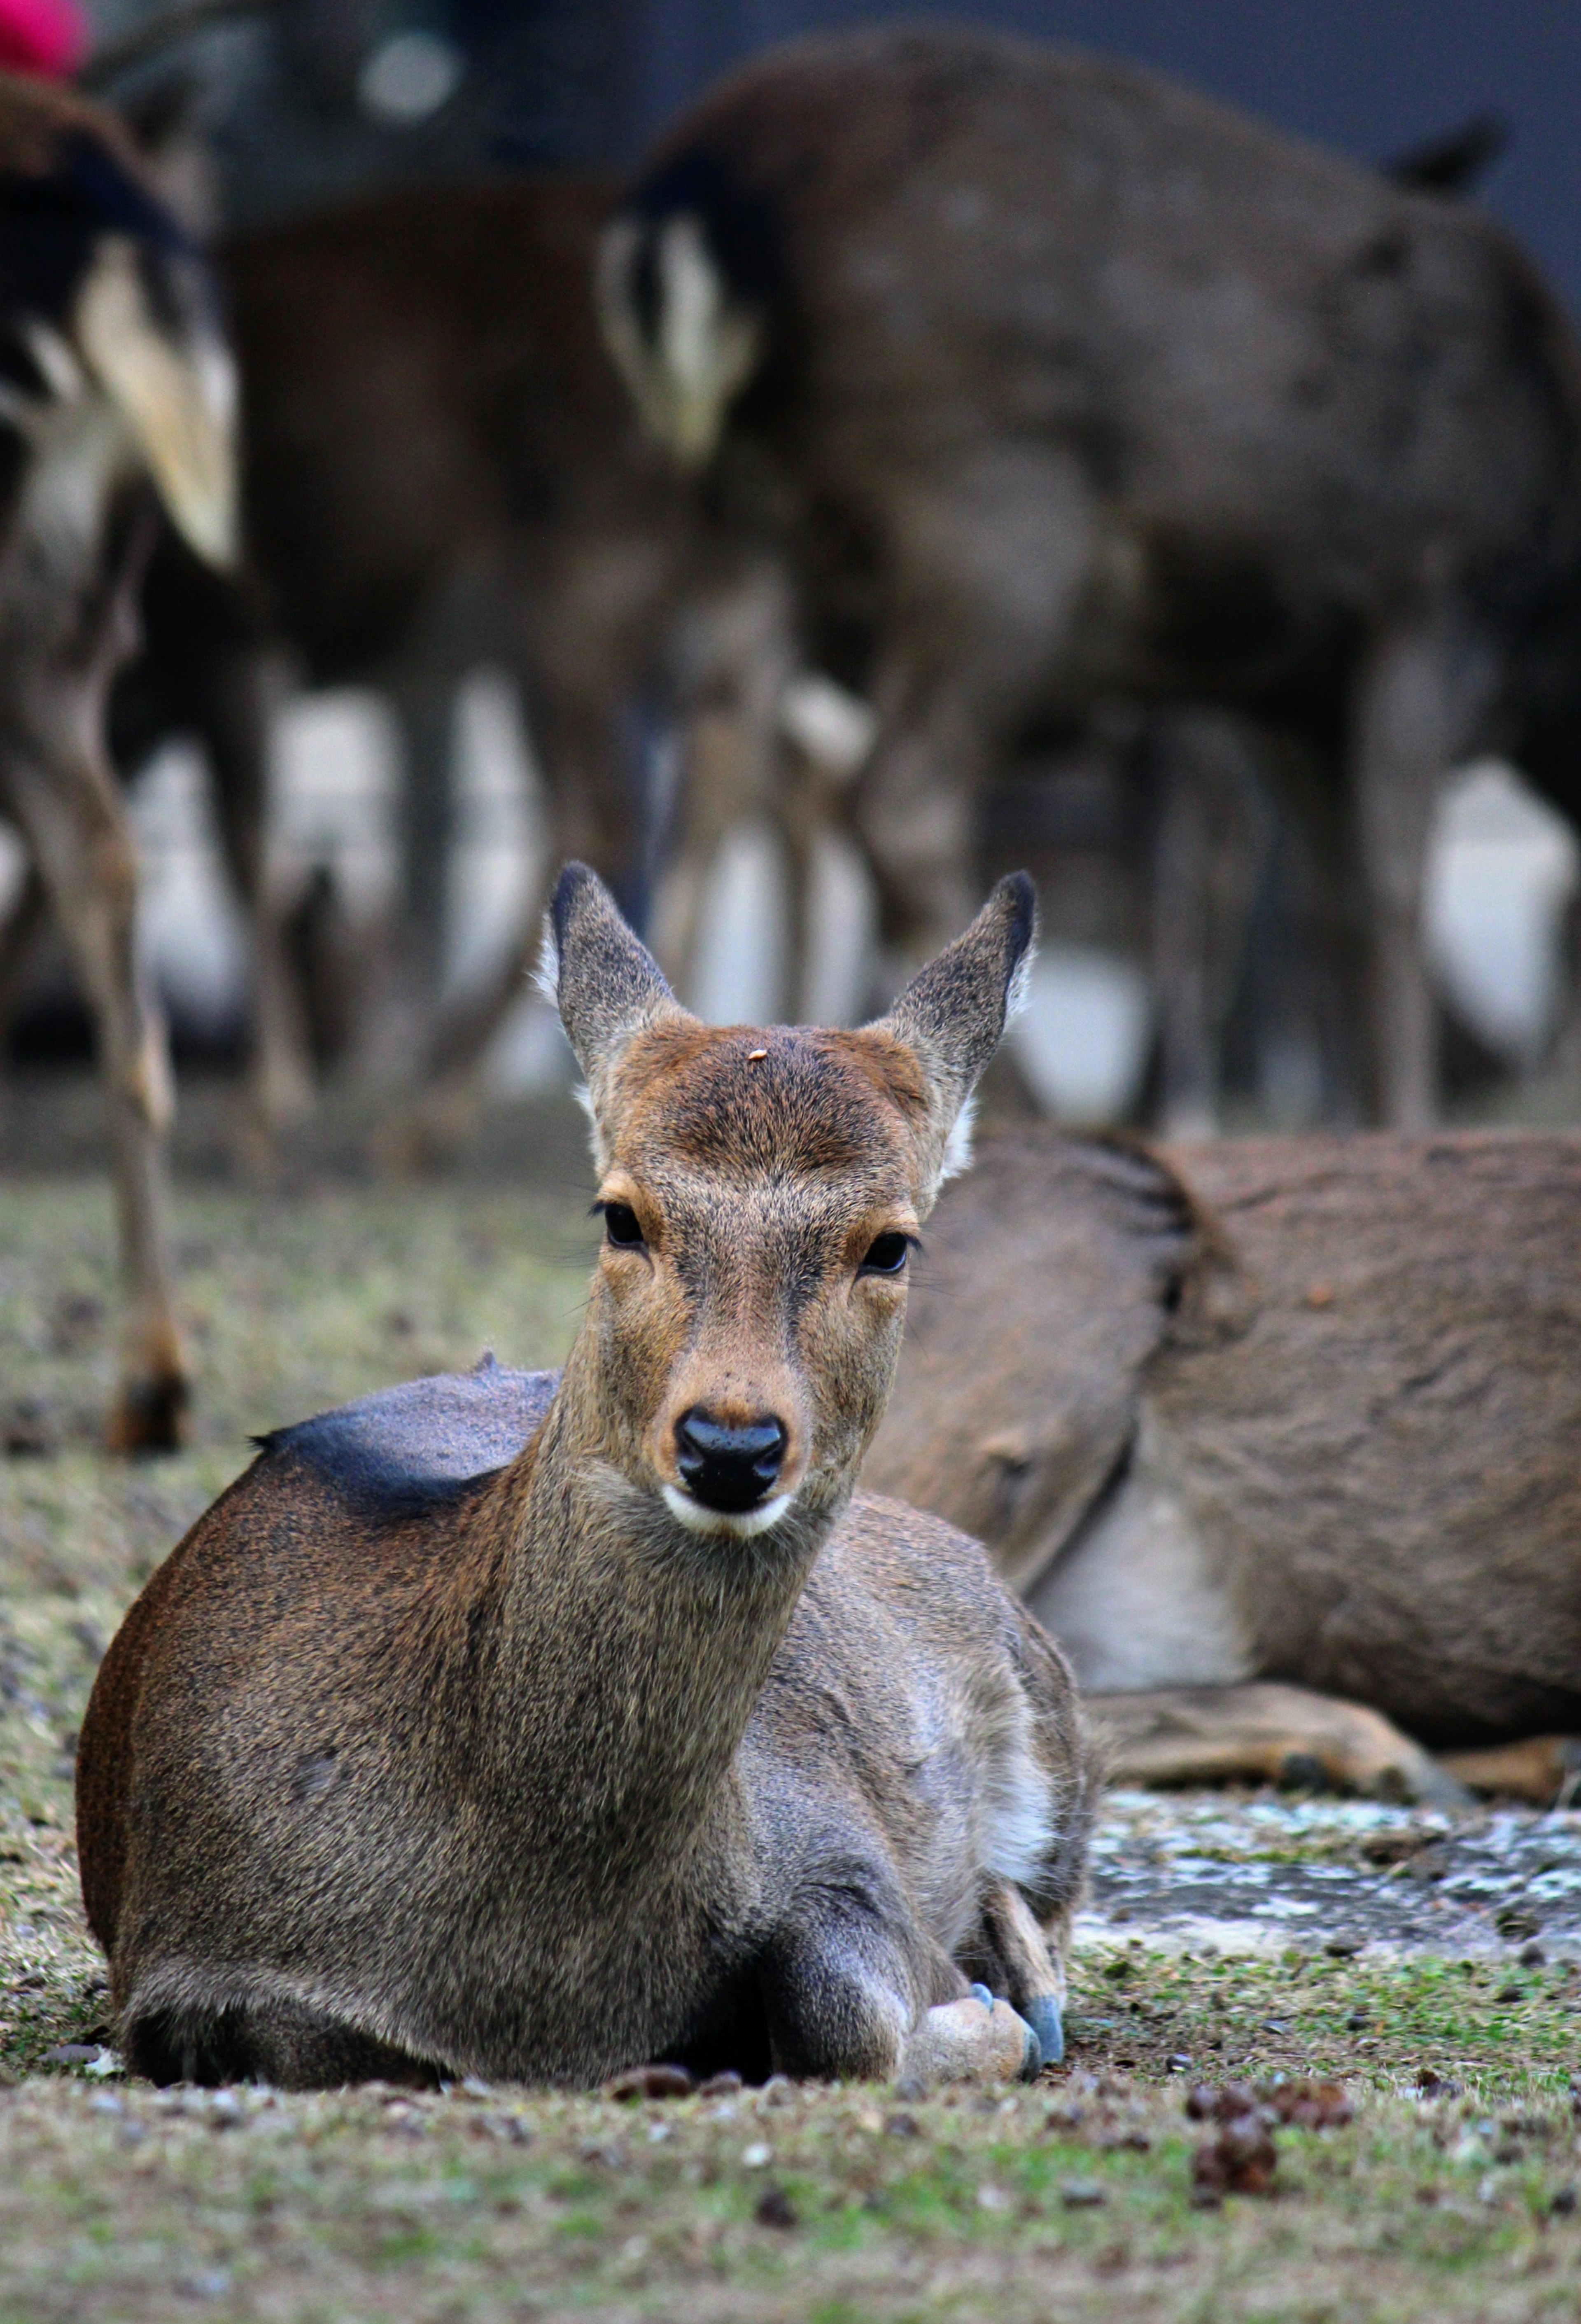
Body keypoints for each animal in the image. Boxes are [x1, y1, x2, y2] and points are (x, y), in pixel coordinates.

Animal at [71, 860, 1088, 2091]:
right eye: (620, 1213)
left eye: (891, 1242)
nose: (731, 1444)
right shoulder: (180, 1976)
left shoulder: (831, 1833)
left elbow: (846, 2009)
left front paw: (986, 2008)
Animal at [599, 23, 1581, 1129]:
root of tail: (687, 200)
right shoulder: (1424, 593)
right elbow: (1373, 888)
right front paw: (1384, 1118)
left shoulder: (1290, 695)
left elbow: (1321, 896)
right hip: (992, 518)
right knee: (897, 798)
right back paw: (1014, 1106)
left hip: (746, 532)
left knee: (709, 776)